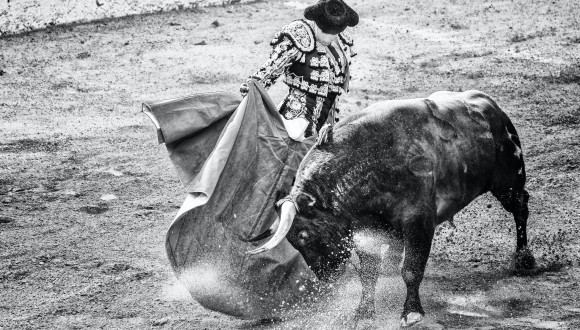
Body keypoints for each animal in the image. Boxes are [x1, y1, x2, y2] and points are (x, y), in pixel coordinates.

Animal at [245, 90, 536, 328]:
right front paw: (363, 313)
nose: (326, 277)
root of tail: (492, 106)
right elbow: (369, 274)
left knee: (521, 208)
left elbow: (411, 269)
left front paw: (411, 313)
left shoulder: (419, 222)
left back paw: (524, 259)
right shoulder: (368, 230)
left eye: (304, 236)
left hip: (508, 182)